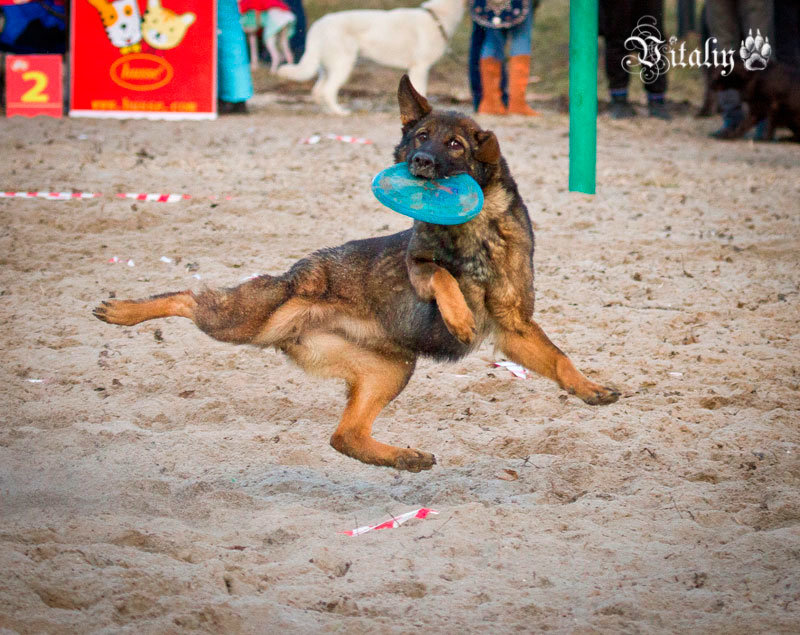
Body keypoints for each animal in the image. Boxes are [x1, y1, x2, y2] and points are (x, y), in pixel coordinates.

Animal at [92, 76, 620, 472]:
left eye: (453, 144)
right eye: (419, 137)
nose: (419, 161)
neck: (473, 228)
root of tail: (299, 306)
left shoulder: (515, 327)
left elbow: (558, 360)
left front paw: (590, 388)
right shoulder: (420, 269)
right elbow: (443, 277)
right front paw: (459, 319)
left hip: (389, 368)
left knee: (343, 436)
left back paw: (403, 457)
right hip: (249, 319)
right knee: (188, 297)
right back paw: (122, 311)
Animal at [276, 0, 462, 115]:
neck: (437, 16)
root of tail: (318, 25)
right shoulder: (420, 67)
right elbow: (420, 92)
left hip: (326, 68)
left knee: (318, 91)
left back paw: (329, 111)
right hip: (343, 65)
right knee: (328, 91)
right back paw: (339, 112)